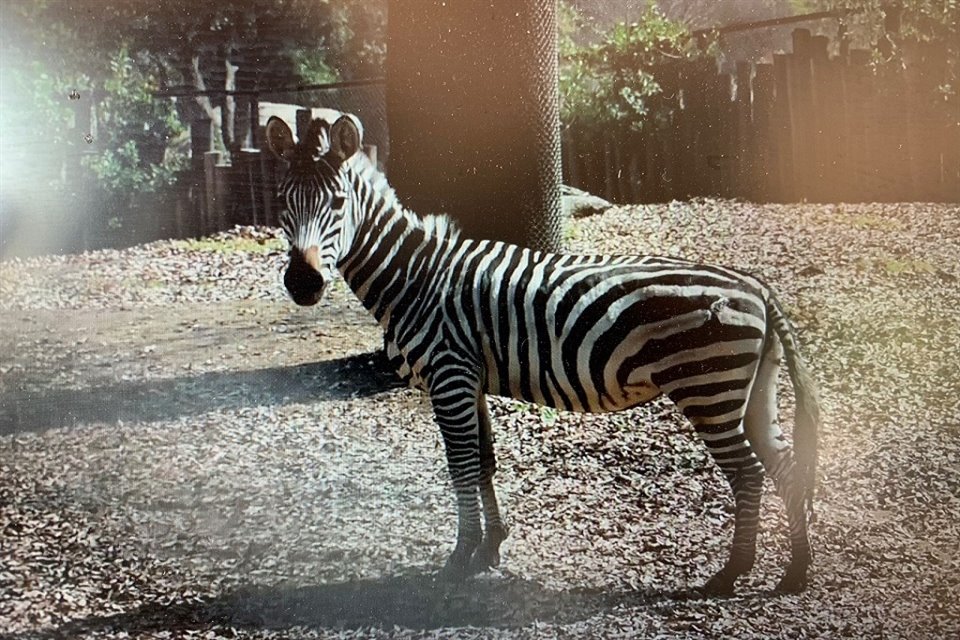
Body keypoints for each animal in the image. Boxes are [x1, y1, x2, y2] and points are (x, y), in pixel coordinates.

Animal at [265, 114, 820, 595]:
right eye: (282, 202)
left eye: (338, 202)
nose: (303, 283)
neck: (415, 278)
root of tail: (753, 284)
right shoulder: (469, 380)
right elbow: (484, 462)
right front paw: (490, 549)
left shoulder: (449, 375)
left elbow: (461, 467)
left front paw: (459, 561)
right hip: (751, 392)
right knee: (784, 465)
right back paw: (796, 572)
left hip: (708, 390)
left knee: (748, 474)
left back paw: (732, 574)